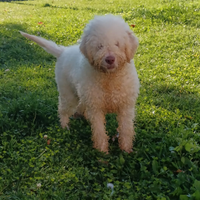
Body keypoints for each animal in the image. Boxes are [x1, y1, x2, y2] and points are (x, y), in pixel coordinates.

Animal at [19, 14, 139, 153]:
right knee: (62, 110)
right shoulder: (96, 108)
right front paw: (102, 152)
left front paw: (126, 150)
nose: (110, 59)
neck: (109, 78)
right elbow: (99, 131)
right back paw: (65, 127)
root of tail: (63, 51)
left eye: (117, 44)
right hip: (68, 94)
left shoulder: (126, 107)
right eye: (100, 46)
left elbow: (126, 130)